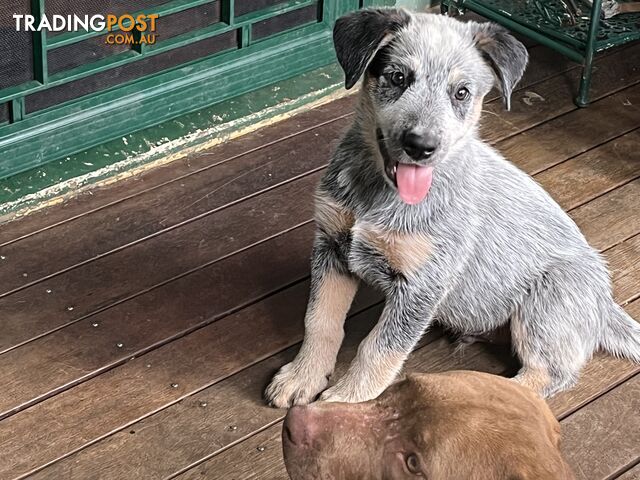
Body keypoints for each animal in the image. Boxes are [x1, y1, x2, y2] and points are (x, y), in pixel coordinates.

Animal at [264, 8, 640, 404]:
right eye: (398, 77)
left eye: (461, 93)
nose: (421, 145)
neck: (377, 195)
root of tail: (604, 305)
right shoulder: (332, 247)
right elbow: (320, 320)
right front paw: (303, 376)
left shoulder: (424, 283)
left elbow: (379, 348)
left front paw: (345, 402)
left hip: (548, 302)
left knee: (549, 375)